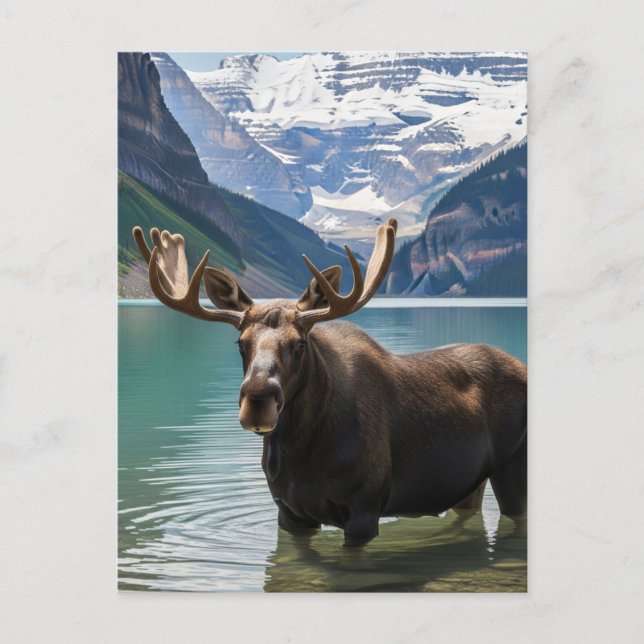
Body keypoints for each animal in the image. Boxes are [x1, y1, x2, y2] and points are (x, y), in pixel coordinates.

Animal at [132, 219, 527, 547]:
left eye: (300, 344)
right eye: (241, 343)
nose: (257, 400)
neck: (302, 452)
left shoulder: (365, 507)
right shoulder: (289, 513)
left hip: (513, 466)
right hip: (469, 483)